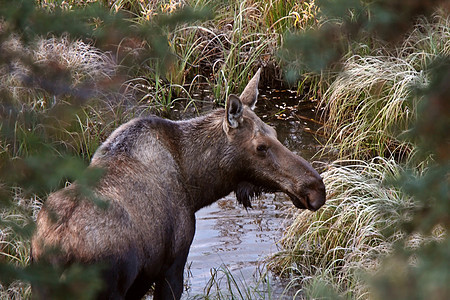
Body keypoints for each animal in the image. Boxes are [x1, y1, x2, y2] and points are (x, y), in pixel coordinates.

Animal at [32, 68, 326, 300]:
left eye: (275, 133)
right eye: (261, 146)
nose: (316, 188)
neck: (197, 185)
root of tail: (57, 252)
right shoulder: (173, 264)